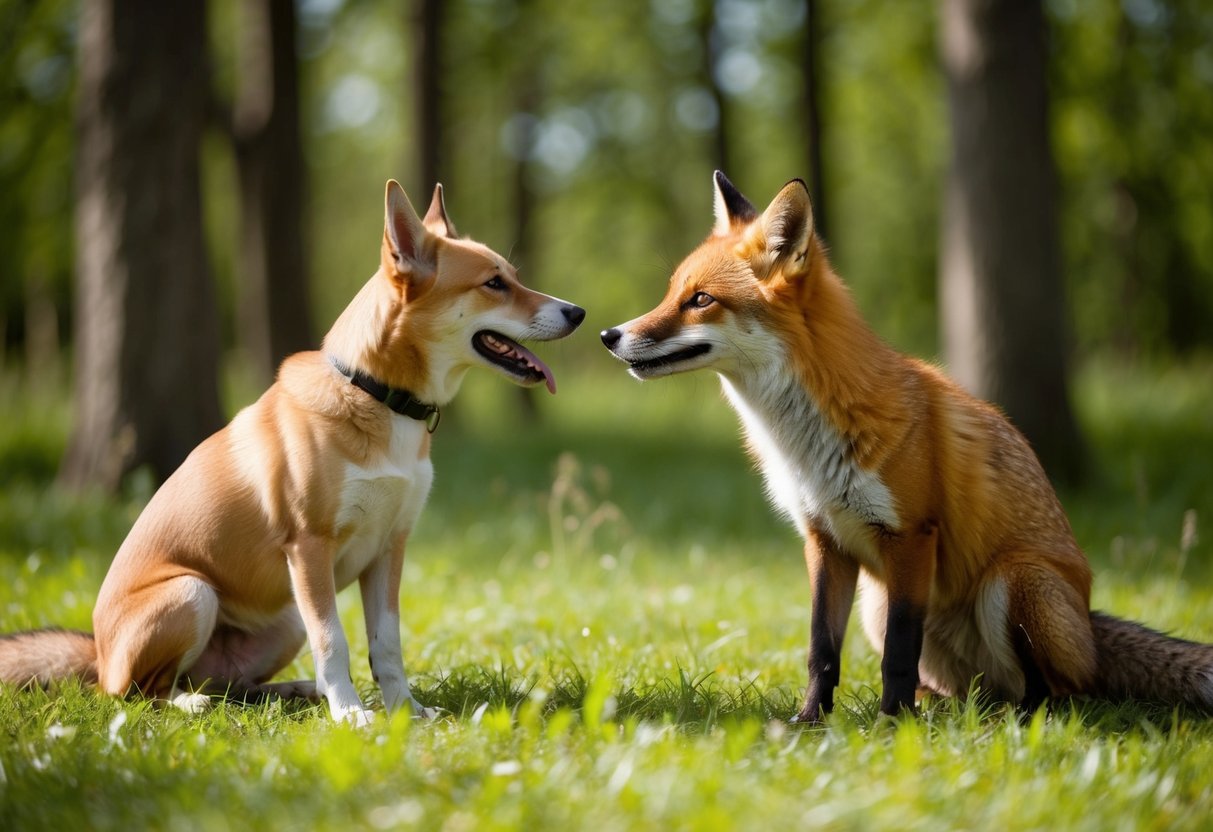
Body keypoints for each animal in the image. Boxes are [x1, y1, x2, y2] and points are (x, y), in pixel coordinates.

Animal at [0, 180, 585, 724]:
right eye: (494, 283)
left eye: (513, 275)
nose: (578, 312)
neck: (378, 394)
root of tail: (98, 654)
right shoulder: (309, 548)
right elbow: (336, 642)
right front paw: (350, 713)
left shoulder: (389, 547)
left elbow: (387, 646)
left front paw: (406, 711)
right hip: (194, 593)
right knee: (141, 693)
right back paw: (197, 704)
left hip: (282, 618)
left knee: (230, 686)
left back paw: (295, 692)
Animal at [601, 171, 1213, 721]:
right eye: (671, 294)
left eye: (701, 299)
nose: (610, 335)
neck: (805, 443)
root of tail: (1090, 622)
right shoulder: (825, 541)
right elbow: (821, 650)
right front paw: (810, 722)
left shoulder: (912, 537)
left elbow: (899, 650)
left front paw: (892, 724)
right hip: (879, 604)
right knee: (970, 687)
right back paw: (944, 706)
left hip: (1014, 581)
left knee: (1056, 689)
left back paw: (1021, 717)